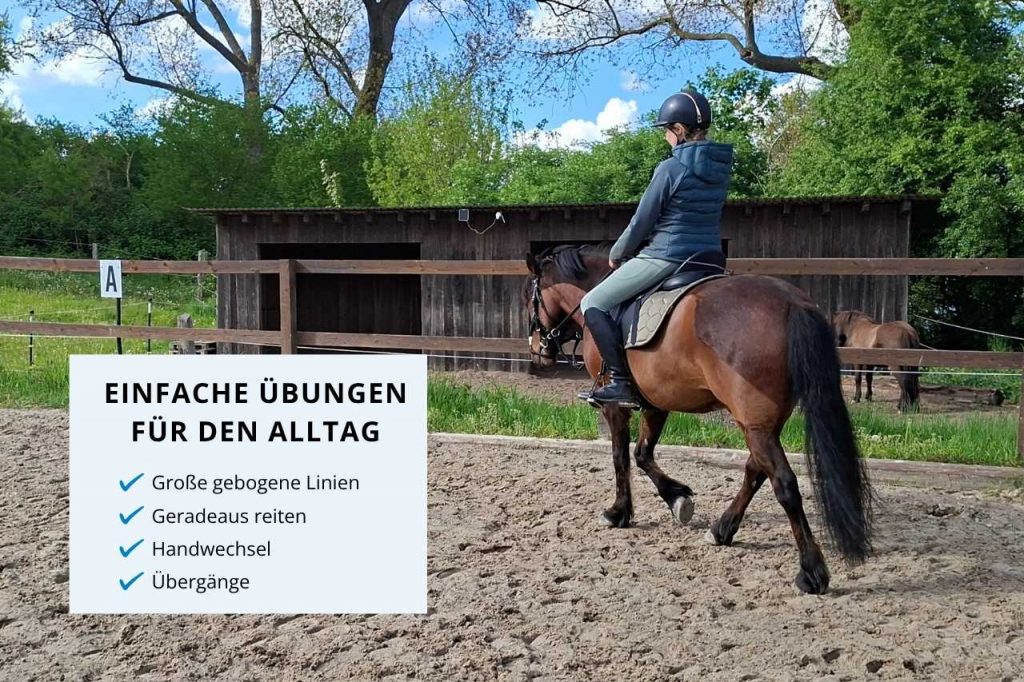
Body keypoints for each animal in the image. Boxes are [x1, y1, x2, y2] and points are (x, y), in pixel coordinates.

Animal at [525, 244, 872, 594]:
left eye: (532, 298)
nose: (538, 352)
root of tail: (791, 303)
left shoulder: (616, 406)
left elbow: (620, 457)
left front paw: (618, 513)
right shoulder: (656, 403)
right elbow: (642, 454)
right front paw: (677, 498)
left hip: (755, 423)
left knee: (784, 483)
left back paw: (811, 571)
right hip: (761, 423)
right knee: (756, 470)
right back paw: (722, 530)